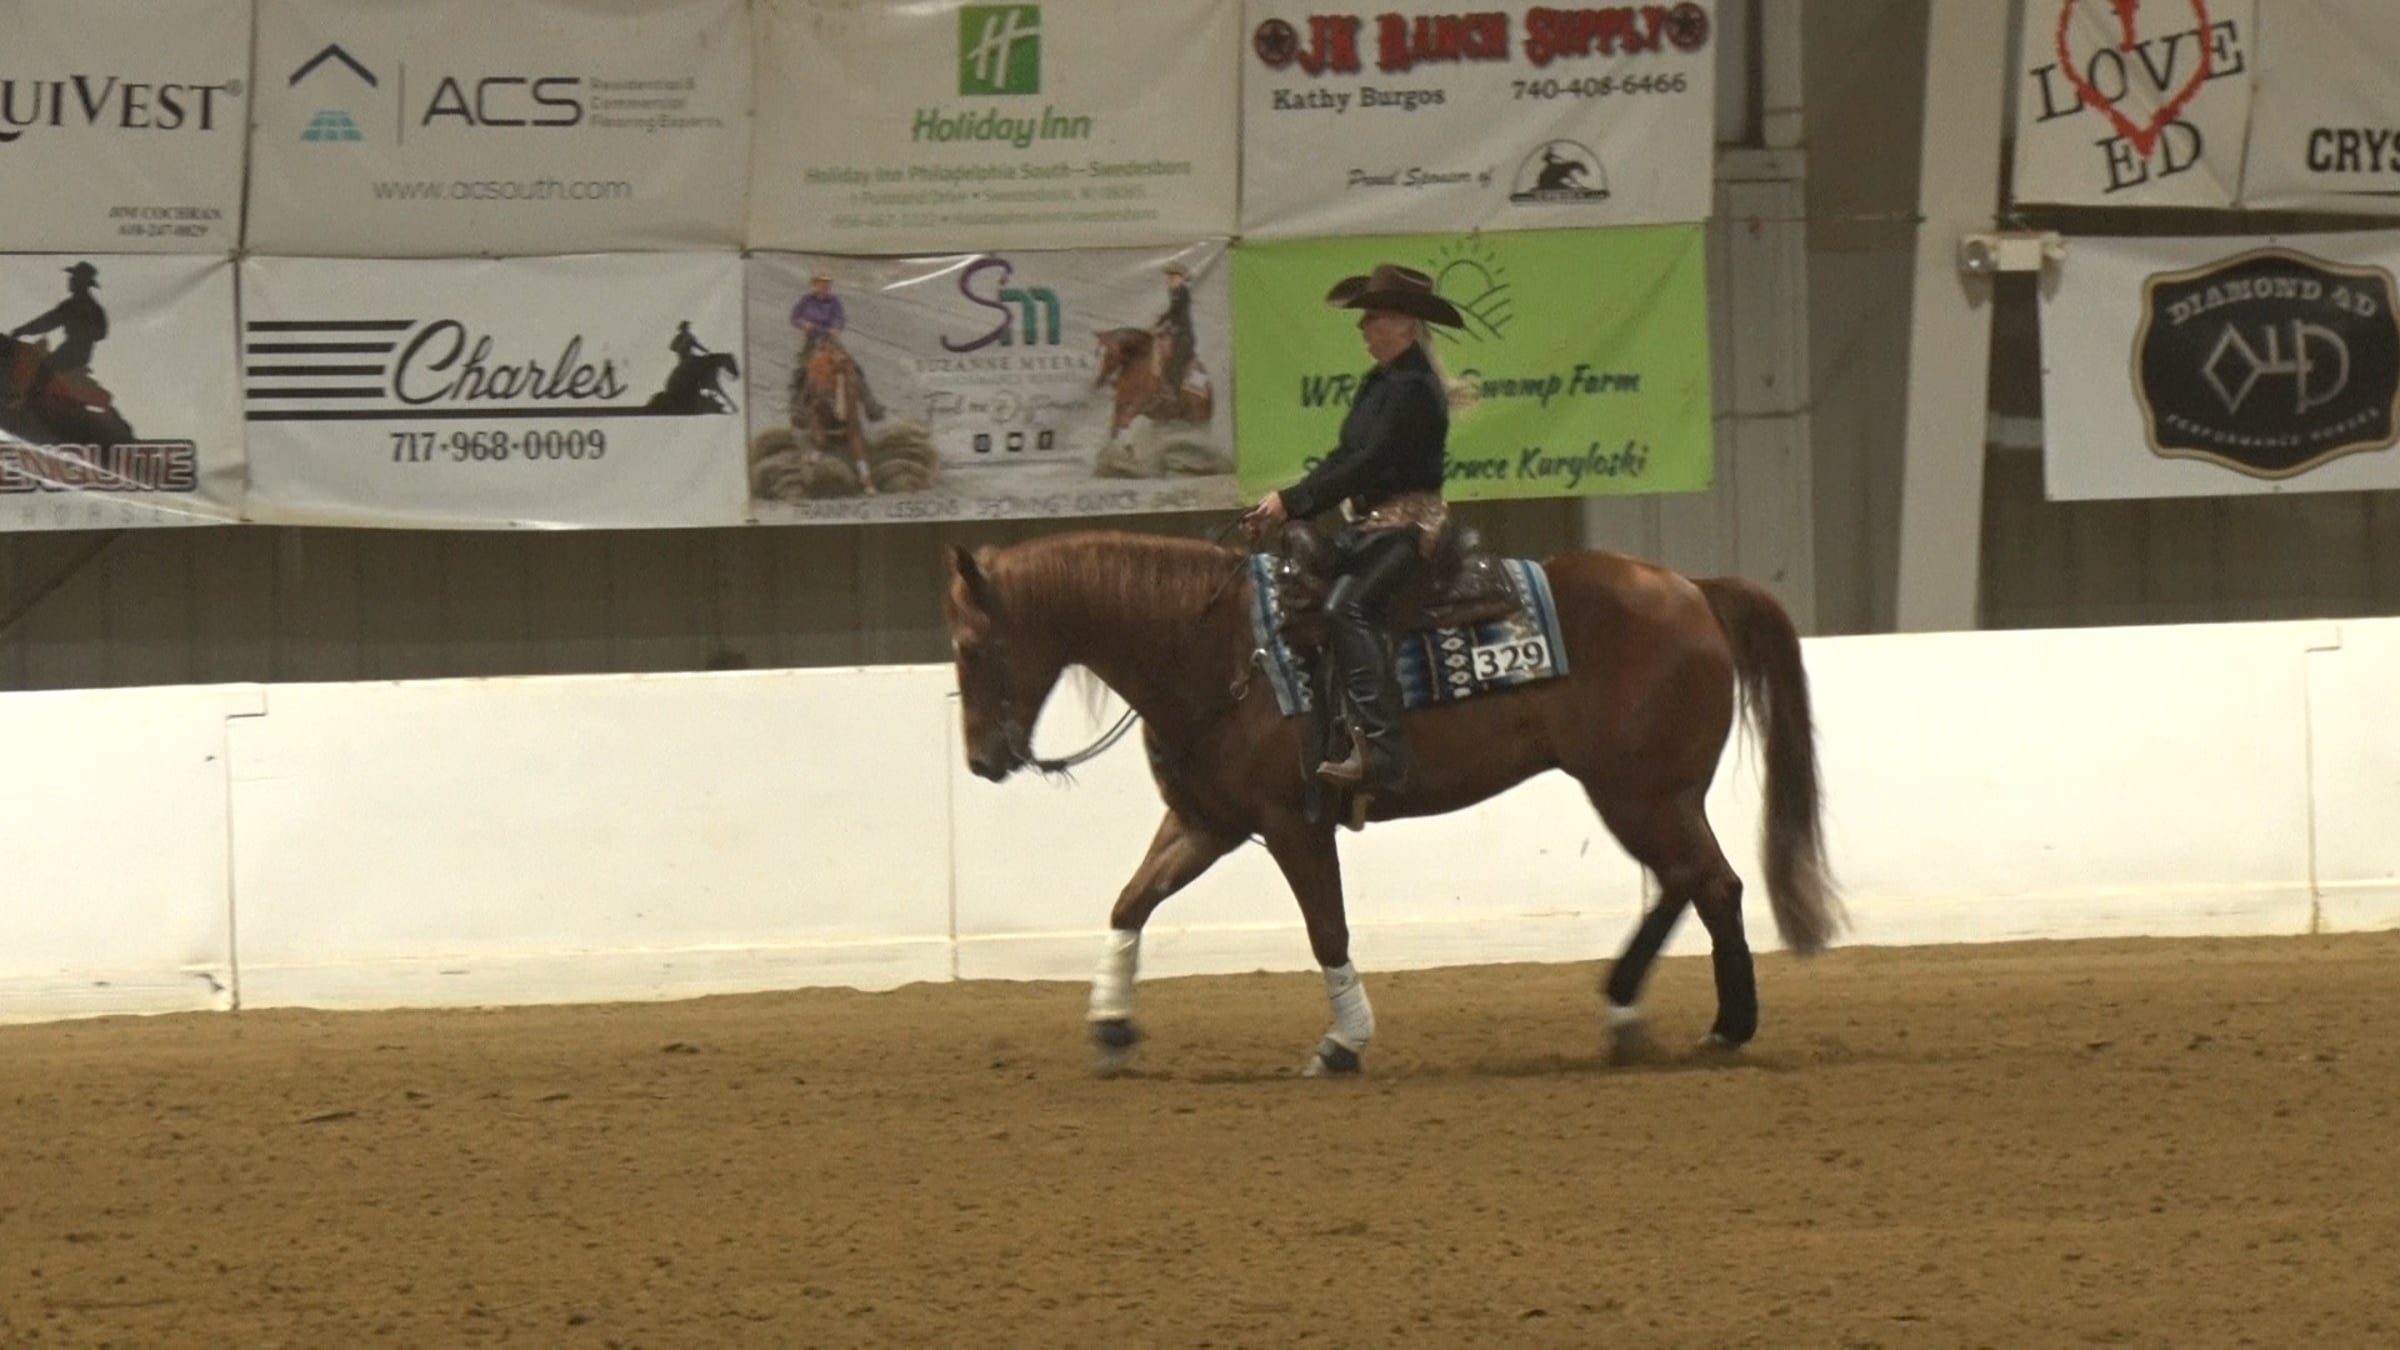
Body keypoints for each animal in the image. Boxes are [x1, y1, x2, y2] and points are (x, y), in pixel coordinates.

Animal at [791, 338, 874, 495]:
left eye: (833, 378)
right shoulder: (817, 414)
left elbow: (860, 452)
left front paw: (869, 485)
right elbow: (820, 438)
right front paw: (812, 457)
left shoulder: (853, 424)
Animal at [942, 528, 1841, 1077]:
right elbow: (1131, 902)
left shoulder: (1291, 822)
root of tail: (1693, 589)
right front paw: (1110, 1027)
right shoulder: (1208, 823)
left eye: (973, 646)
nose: (983, 760)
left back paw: (1719, 1025)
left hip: (1641, 793)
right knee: (1694, 884)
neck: (1221, 652)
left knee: (1709, 883)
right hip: (1644, 795)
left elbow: (1327, 928)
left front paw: (1342, 1043)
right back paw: (1640, 1016)